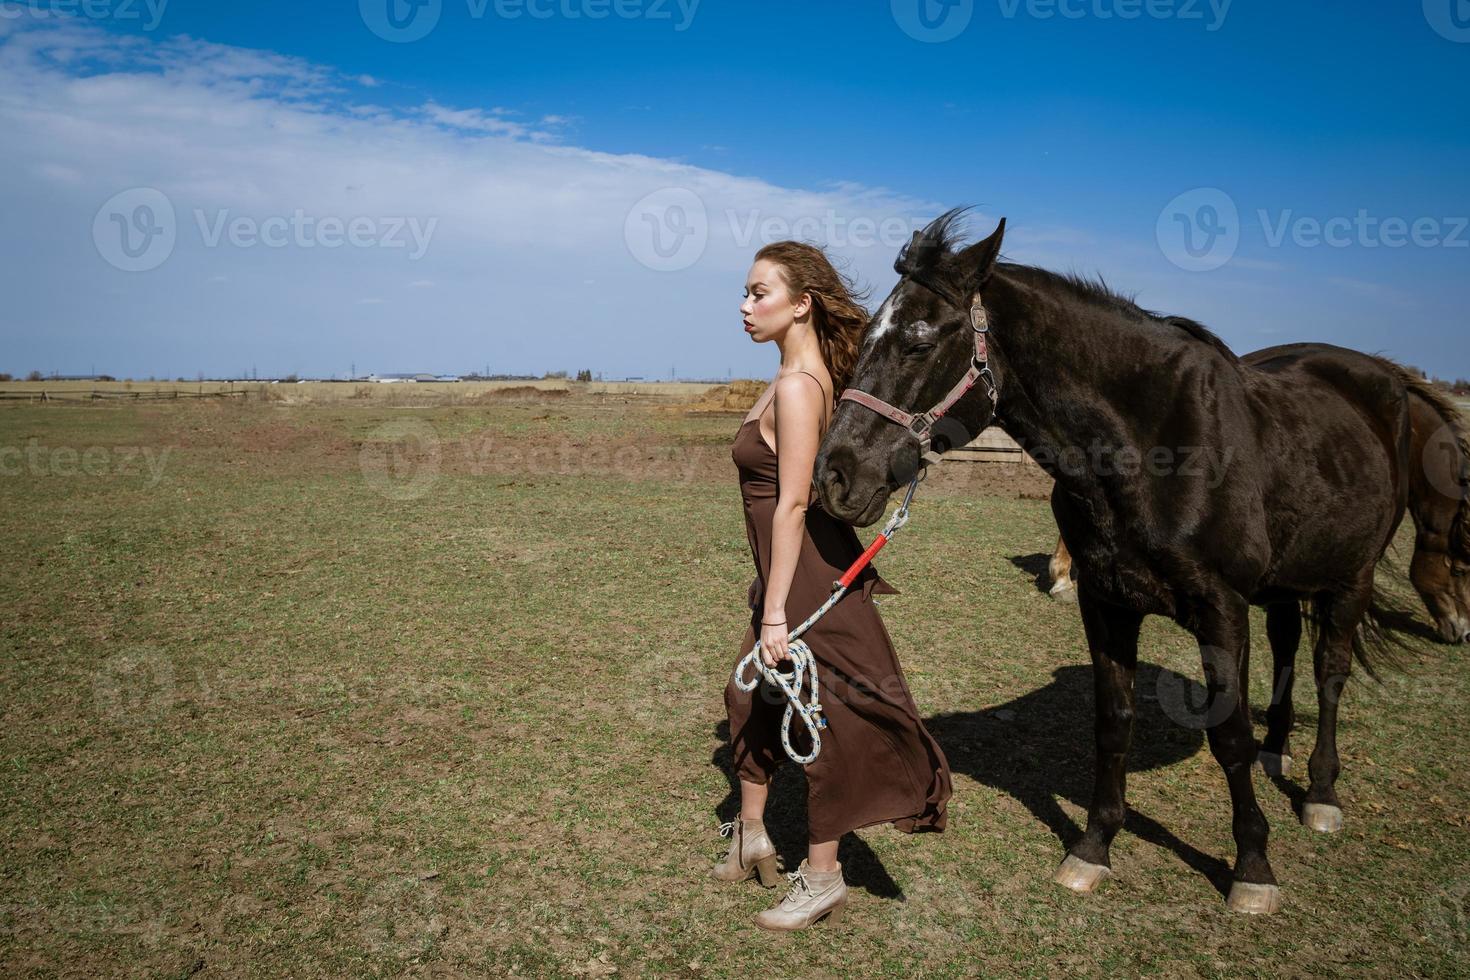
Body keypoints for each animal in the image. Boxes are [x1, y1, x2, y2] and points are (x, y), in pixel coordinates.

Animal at [817, 208, 1422, 922]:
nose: (835, 475)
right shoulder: (1107, 602)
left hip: (1350, 579)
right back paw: (1279, 752)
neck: (1153, 450)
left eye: (916, 342)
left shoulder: (1221, 610)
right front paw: (1094, 847)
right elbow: (1113, 723)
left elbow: (1228, 736)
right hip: (1284, 585)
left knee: (1330, 675)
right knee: (1287, 650)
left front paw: (1252, 865)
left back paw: (1322, 794)